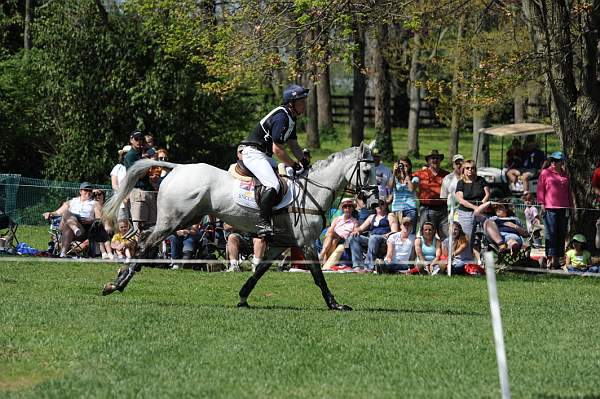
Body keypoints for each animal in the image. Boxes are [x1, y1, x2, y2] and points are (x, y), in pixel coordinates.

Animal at [103, 144, 376, 312]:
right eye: (367, 170)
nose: (374, 202)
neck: (311, 192)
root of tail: (178, 167)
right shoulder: (306, 244)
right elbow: (319, 277)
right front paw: (335, 304)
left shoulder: (280, 243)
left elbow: (259, 270)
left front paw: (243, 296)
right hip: (174, 220)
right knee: (145, 243)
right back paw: (117, 283)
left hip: (184, 220)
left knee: (144, 239)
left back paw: (120, 280)